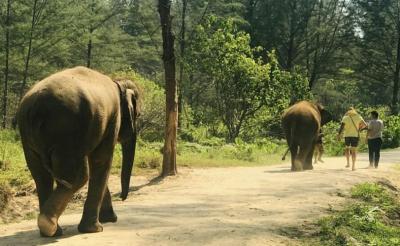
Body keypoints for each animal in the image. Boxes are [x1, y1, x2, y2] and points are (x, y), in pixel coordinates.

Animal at [17, 66, 141, 237]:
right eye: (138, 115)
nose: (122, 198)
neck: (117, 82)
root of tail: (36, 107)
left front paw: (108, 219)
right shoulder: (112, 119)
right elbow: (101, 160)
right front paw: (96, 228)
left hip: (29, 140)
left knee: (41, 176)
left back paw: (52, 231)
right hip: (68, 134)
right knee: (77, 177)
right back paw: (48, 224)